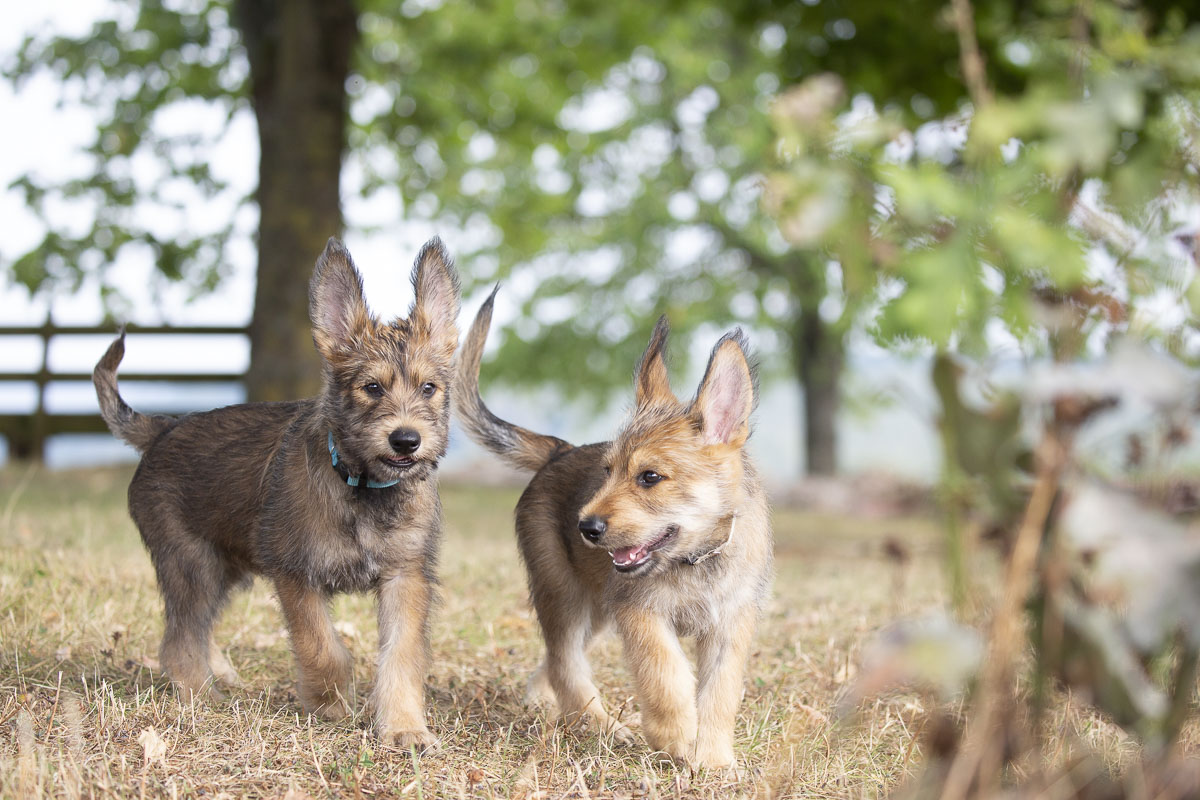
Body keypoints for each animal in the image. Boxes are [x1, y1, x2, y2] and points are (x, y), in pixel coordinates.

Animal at [92, 237, 458, 753]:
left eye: (429, 387)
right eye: (371, 387)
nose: (406, 440)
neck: (361, 487)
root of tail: (164, 428)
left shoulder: (405, 577)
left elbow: (400, 656)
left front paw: (405, 727)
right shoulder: (295, 573)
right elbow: (323, 647)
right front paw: (329, 705)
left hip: (224, 567)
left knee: (196, 628)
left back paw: (219, 675)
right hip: (192, 564)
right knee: (179, 638)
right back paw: (201, 696)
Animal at [453, 289, 772, 767]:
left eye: (650, 477)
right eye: (607, 472)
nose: (586, 527)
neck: (695, 560)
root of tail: (558, 451)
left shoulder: (729, 627)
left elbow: (720, 693)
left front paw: (714, 759)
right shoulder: (639, 613)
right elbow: (665, 674)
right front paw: (675, 736)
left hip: (597, 611)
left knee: (556, 662)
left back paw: (548, 703)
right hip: (563, 592)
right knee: (565, 662)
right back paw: (600, 725)